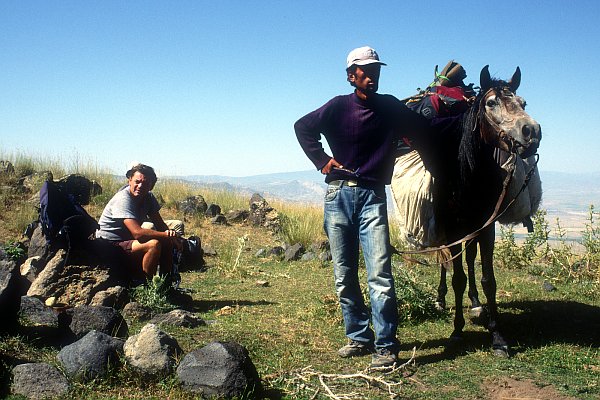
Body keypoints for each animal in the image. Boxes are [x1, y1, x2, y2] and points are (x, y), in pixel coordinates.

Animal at [392, 65, 540, 356]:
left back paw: (475, 302)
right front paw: (457, 331)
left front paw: (498, 336)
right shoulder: (452, 229)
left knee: (470, 259)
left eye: (523, 102)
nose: (531, 131)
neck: (468, 178)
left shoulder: (486, 227)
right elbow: (457, 278)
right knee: (445, 261)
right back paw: (440, 298)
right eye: (491, 103)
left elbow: (487, 279)